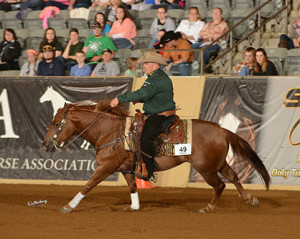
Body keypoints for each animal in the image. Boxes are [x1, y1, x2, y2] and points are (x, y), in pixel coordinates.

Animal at [41, 99, 270, 213]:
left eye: (56, 123)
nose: (45, 144)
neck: (110, 132)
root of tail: (221, 129)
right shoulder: (125, 168)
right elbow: (133, 187)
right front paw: (134, 206)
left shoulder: (105, 167)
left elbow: (88, 186)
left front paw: (69, 206)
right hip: (219, 164)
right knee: (234, 178)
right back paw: (250, 199)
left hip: (206, 169)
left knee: (220, 185)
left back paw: (209, 207)